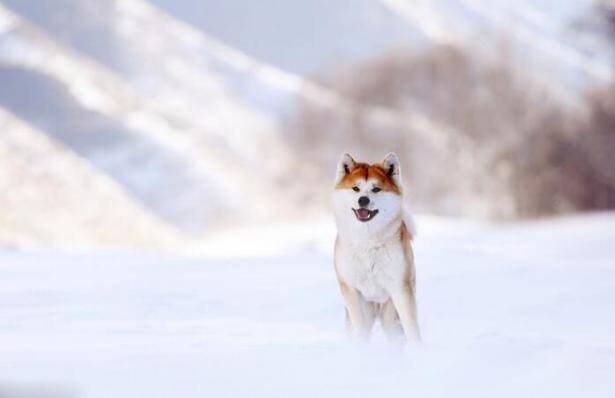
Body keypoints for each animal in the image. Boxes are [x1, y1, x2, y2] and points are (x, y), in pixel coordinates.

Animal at [334, 152, 422, 342]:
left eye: (376, 189)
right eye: (355, 188)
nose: (363, 200)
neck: (368, 241)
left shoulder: (400, 287)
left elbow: (412, 326)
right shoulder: (351, 290)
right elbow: (359, 327)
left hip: (391, 318)